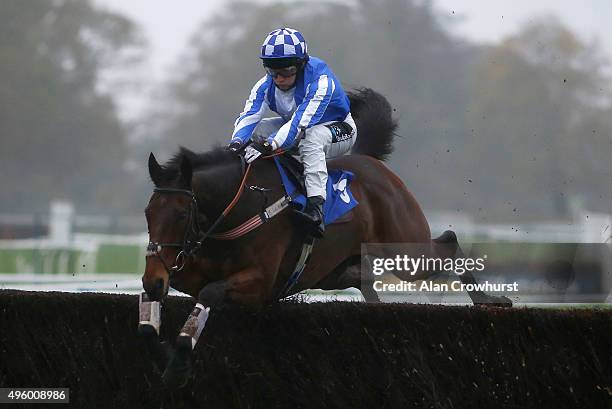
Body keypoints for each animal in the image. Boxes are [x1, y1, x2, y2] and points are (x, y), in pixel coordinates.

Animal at [141, 87, 510, 388]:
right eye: (148, 213)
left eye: (180, 214)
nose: (153, 275)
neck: (240, 206)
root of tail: (371, 162)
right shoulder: (183, 270)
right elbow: (151, 313)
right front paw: (165, 353)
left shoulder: (260, 283)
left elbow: (210, 292)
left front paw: (179, 362)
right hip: (336, 270)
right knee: (366, 280)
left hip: (404, 248)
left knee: (448, 240)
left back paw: (490, 300)